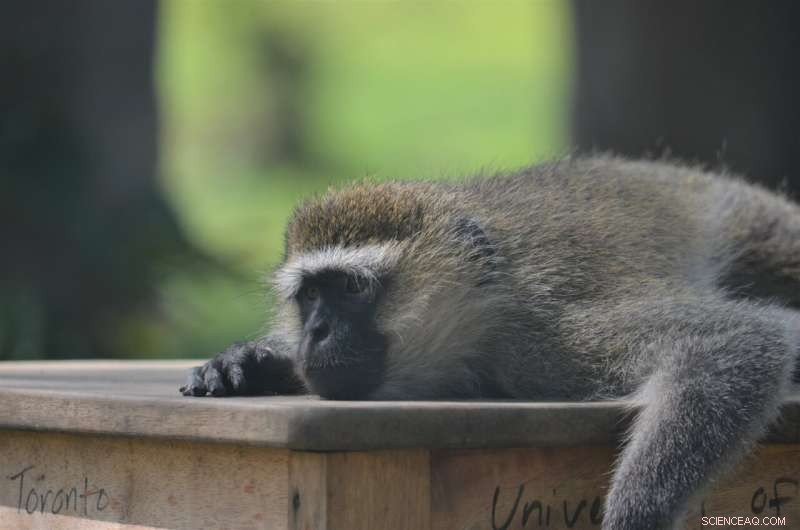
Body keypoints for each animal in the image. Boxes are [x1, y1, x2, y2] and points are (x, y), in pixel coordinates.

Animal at [180, 155, 800, 530]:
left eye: (352, 290)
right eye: (309, 296)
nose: (315, 331)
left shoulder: (547, 333)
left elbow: (741, 338)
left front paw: (635, 515)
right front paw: (251, 361)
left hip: (750, 218)